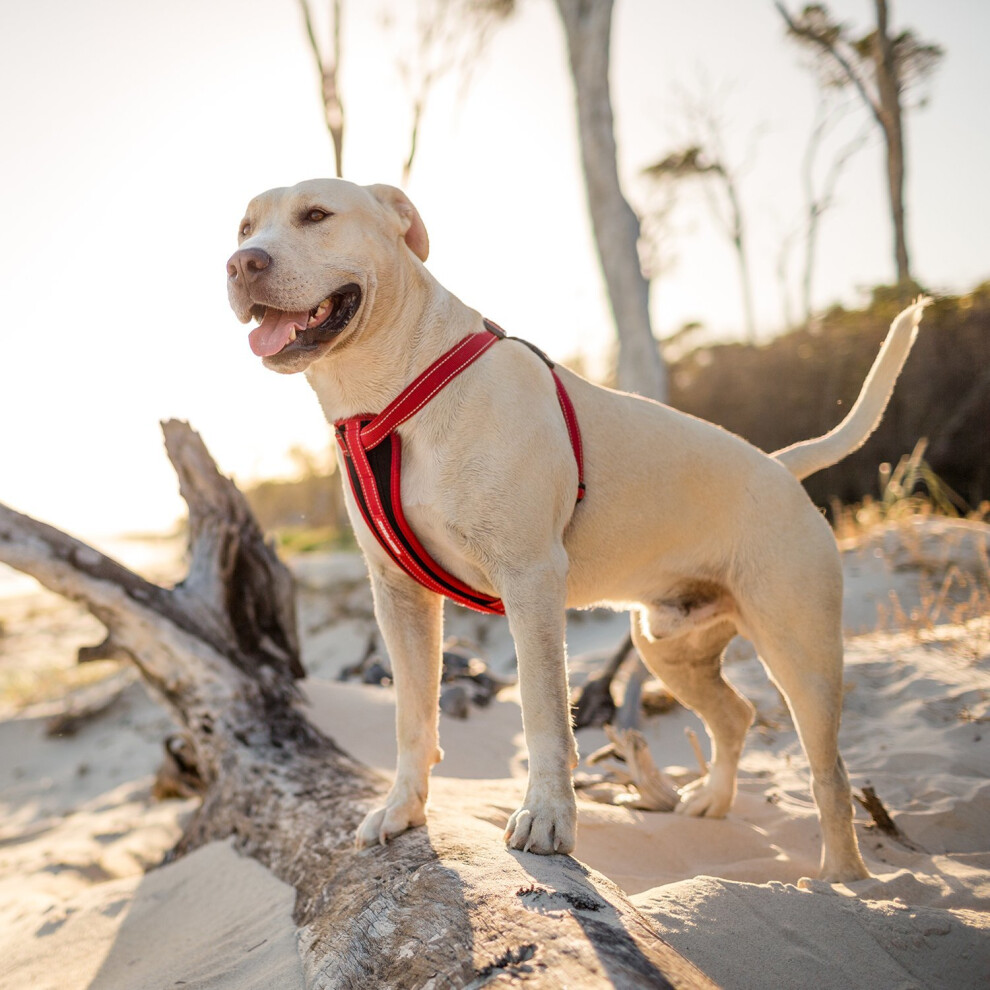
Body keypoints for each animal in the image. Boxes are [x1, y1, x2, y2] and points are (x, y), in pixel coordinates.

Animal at [227, 178, 928, 884]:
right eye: (245, 228)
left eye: (317, 215)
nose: (241, 265)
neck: (394, 393)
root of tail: (783, 467)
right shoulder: (399, 595)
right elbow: (412, 715)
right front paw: (403, 810)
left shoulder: (529, 579)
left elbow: (542, 709)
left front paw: (547, 819)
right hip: (667, 646)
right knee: (736, 715)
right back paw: (712, 800)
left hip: (800, 652)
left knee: (829, 771)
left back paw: (844, 878)